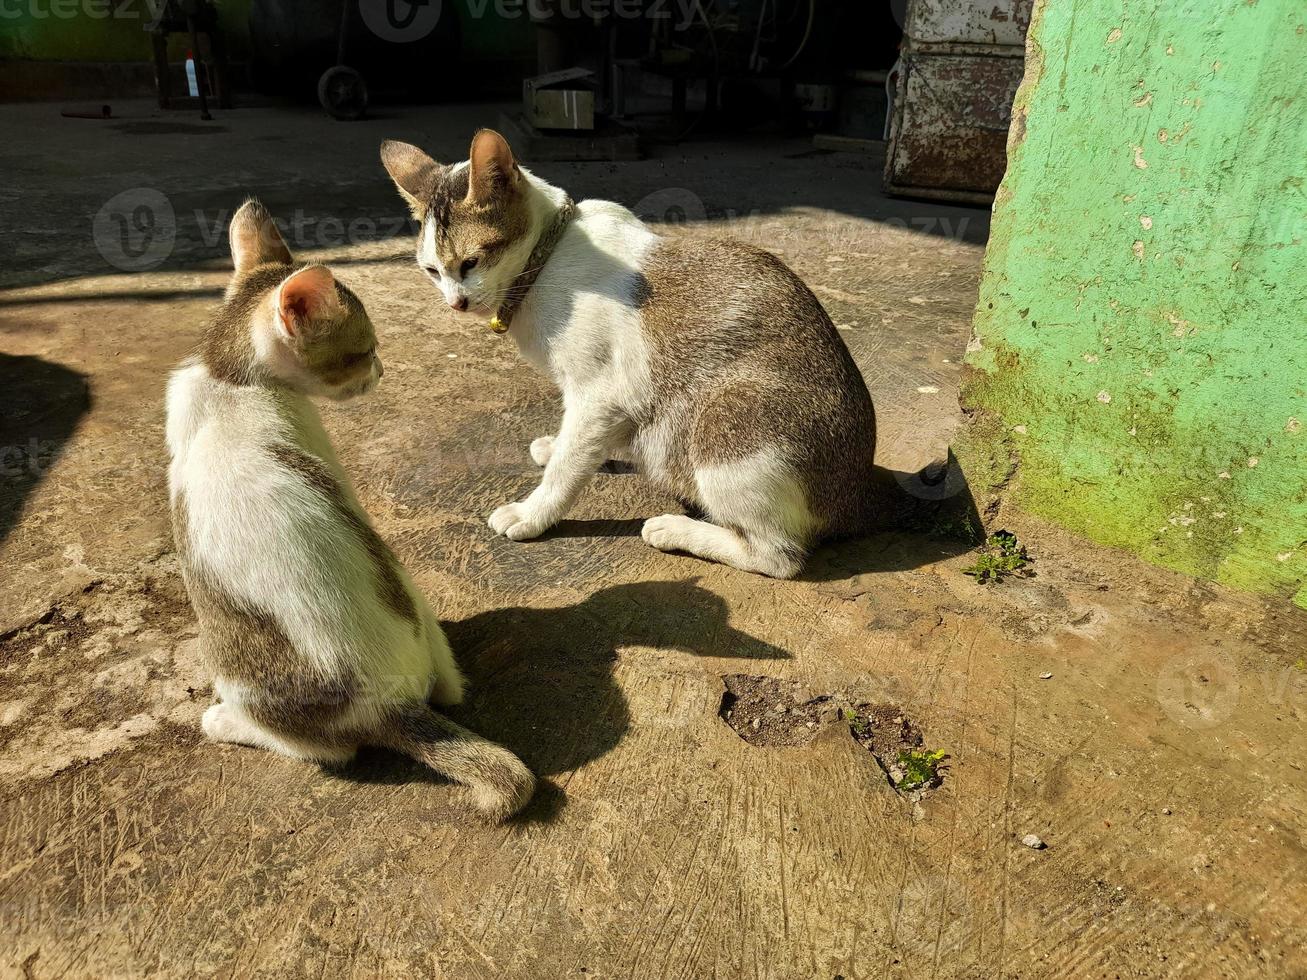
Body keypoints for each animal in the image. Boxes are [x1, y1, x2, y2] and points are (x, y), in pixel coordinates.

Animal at [168, 197, 535, 820]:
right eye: (364, 351)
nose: (382, 370)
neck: (228, 375)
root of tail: (390, 704)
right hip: (410, 596)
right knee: (449, 683)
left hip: (238, 662)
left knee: (328, 751)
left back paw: (225, 720)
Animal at [381, 128, 883, 574]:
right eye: (432, 271)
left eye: (471, 262)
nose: (456, 302)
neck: (546, 259)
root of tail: (859, 498)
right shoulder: (600, 405)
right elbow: (575, 444)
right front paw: (559, 446)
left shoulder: (598, 395)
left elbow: (567, 469)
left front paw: (533, 512)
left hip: (727, 416)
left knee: (777, 557)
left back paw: (677, 529)